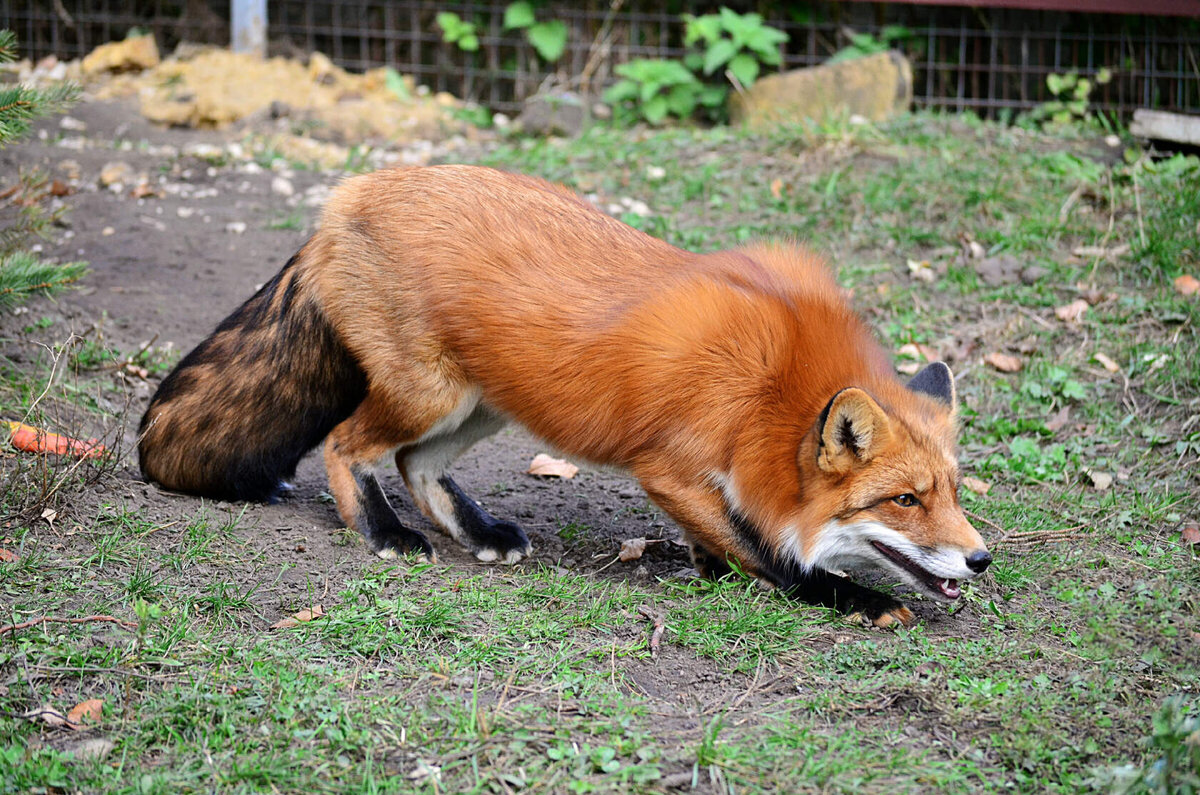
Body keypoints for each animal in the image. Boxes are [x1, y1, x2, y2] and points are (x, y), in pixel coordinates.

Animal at [138, 166, 993, 629]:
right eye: (905, 500)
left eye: (953, 492)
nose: (981, 558)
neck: (772, 384)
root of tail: (342, 201)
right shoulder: (669, 466)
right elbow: (769, 552)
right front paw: (847, 597)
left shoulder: (704, 479)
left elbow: (727, 536)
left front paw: (712, 567)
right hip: (428, 393)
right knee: (347, 445)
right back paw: (384, 533)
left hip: (482, 403)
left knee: (417, 465)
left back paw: (478, 532)